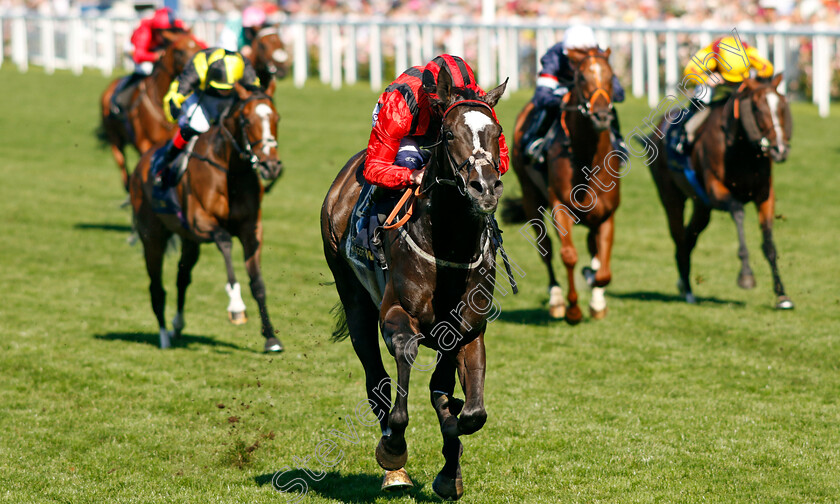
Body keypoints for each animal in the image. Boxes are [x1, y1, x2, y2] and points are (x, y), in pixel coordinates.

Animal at [129, 81, 286, 350]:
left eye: (276, 117)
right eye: (246, 120)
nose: (271, 166)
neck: (231, 171)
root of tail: (142, 163)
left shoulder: (251, 229)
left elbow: (257, 282)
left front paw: (270, 337)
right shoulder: (200, 222)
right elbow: (224, 241)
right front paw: (236, 306)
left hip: (189, 241)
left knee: (182, 277)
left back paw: (177, 325)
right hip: (153, 238)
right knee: (156, 287)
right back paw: (163, 336)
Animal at [320, 69, 506, 498]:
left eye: (496, 132)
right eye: (450, 134)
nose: (485, 188)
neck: (449, 244)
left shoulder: (469, 330)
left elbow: (468, 409)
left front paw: (450, 468)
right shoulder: (395, 313)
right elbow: (406, 361)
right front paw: (394, 448)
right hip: (352, 295)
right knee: (377, 381)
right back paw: (395, 470)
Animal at [508, 47, 620, 322]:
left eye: (611, 77)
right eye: (581, 78)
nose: (602, 115)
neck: (588, 158)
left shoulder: (607, 213)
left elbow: (603, 270)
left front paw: (596, 298)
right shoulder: (559, 205)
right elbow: (568, 255)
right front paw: (573, 309)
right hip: (530, 195)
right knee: (545, 247)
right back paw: (556, 298)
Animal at [648, 75, 796, 310]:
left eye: (782, 104)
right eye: (756, 108)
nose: (779, 150)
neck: (742, 150)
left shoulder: (765, 195)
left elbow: (769, 244)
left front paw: (782, 295)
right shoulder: (716, 191)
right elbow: (738, 211)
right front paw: (746, 276)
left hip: (702, 206)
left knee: (689, 237)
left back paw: (684, 283)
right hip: (671, 196)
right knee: (679, 236)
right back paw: (687, 289)